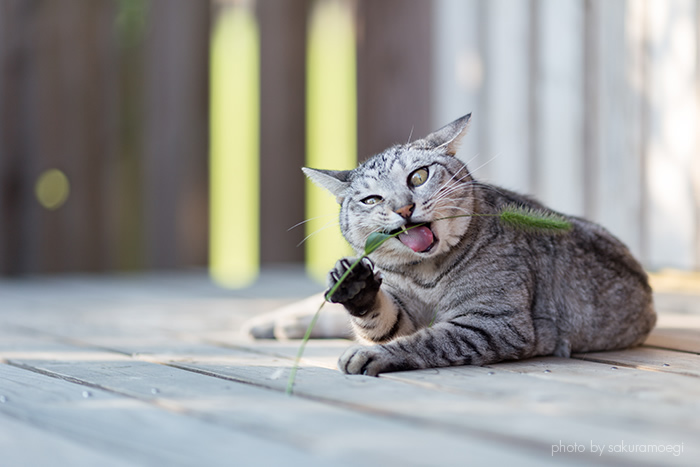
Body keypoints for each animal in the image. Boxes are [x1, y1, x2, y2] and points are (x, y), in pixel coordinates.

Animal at [246, 113, 656, 376]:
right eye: (373, 200)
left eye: (418, 176)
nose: (404, 208)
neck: (425, 274)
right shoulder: (403, 310)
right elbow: (379, 318)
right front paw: (357, 287)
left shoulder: (493, 323)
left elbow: (429, 339)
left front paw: (374, 354)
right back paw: (274, 322)